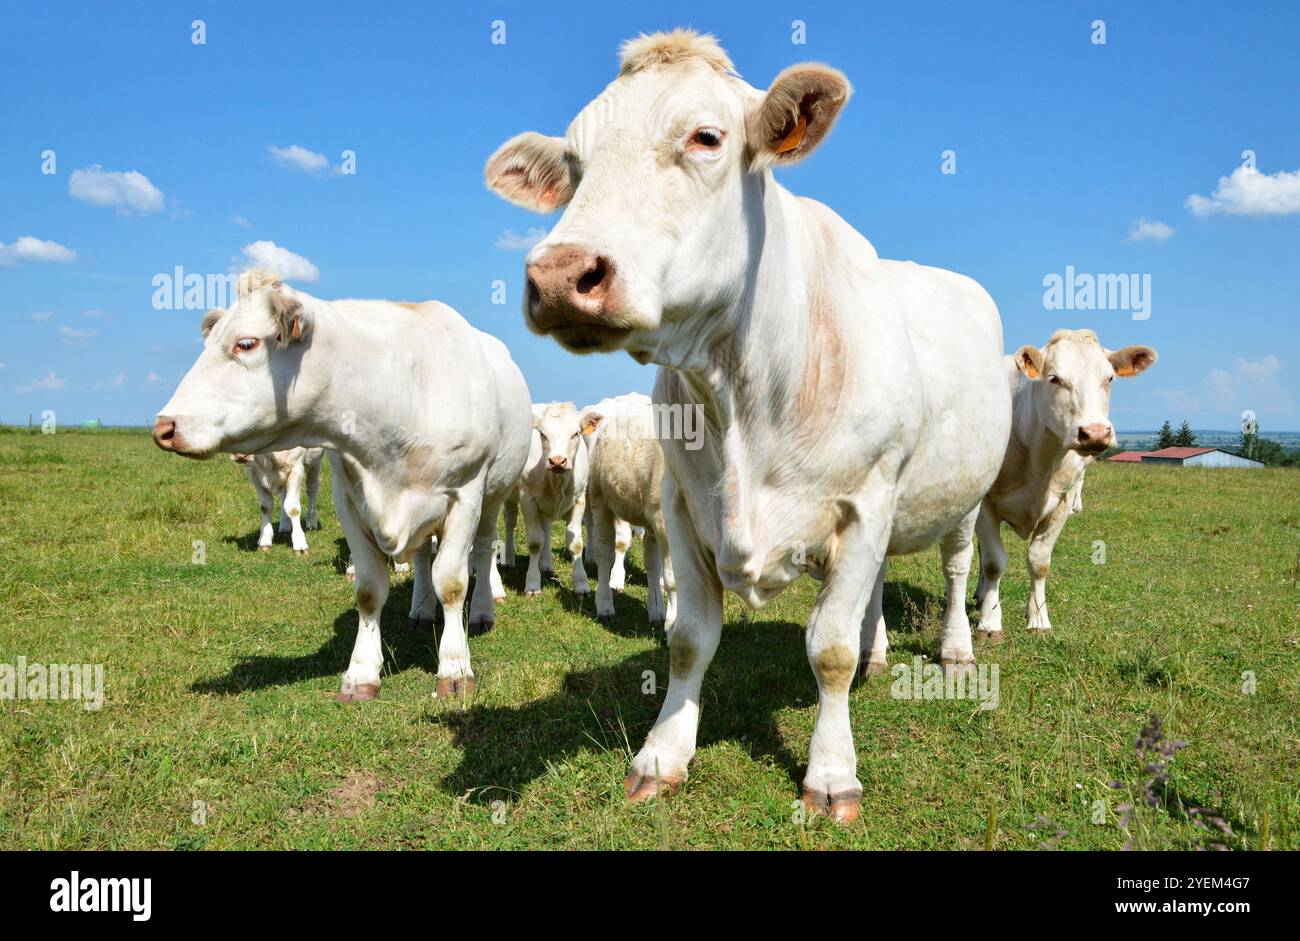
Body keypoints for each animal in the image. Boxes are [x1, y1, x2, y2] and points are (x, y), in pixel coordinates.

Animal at [155, 269, 531, 701]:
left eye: (245, 343)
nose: (164, 426)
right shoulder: (349, 499)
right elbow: (369, 589)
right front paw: (362, 673)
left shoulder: (465, 493)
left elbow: (451, 582)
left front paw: (454, 668)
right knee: (422, 556)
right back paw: (420, 609)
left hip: (493, 495)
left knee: (483, 551)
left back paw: (484, 609)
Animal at [501, 402, 591, 596]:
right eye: (543, 434)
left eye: (576, 433)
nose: (557, 461)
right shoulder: (528, 499)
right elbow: (535, 542)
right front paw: (533, 584)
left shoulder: (579, 499)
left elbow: (576, 544)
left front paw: (581, 584)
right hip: (510, 494)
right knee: (510, 522)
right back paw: (509, 559)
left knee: (547, 527)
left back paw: (546, 564)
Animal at [973, 330, 1156, 638]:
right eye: (1055, 378)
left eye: (1109, 378)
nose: (1095, 432)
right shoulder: (985, 502)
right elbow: (994, 562)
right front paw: (990, 621)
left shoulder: (1063, 501)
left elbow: (1039, 562)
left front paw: (1038, 618)